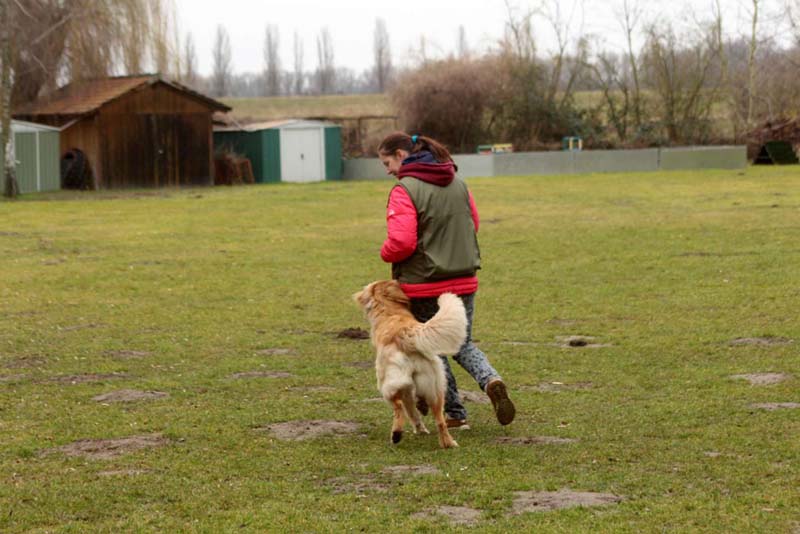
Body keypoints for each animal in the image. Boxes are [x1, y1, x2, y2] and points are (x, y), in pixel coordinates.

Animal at [352, 282, 468, 450]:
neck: (389, 309)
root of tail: (406, 333)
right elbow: (415, 410)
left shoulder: (404, 387)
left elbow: (410, 410)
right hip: (435, 388)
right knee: (440, 420)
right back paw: (448, 443)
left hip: (388, 384)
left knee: (399, 406)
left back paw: (396, 435)